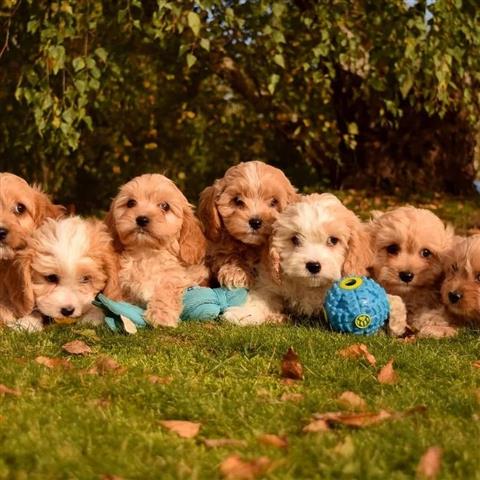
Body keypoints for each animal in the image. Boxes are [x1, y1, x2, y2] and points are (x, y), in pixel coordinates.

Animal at [106, 172, 207, 326]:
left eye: (165, 206)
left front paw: (161, 315)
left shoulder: (179, 277)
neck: (146, 254)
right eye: (131, 203)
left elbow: (167, 288)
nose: (141, 219)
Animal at [221, 194, 376, 326]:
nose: (313, 266)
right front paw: (243, 314)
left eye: (333, 240)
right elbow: (260, 296)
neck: (309, 286)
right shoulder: (270, 282)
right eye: (295, 239)